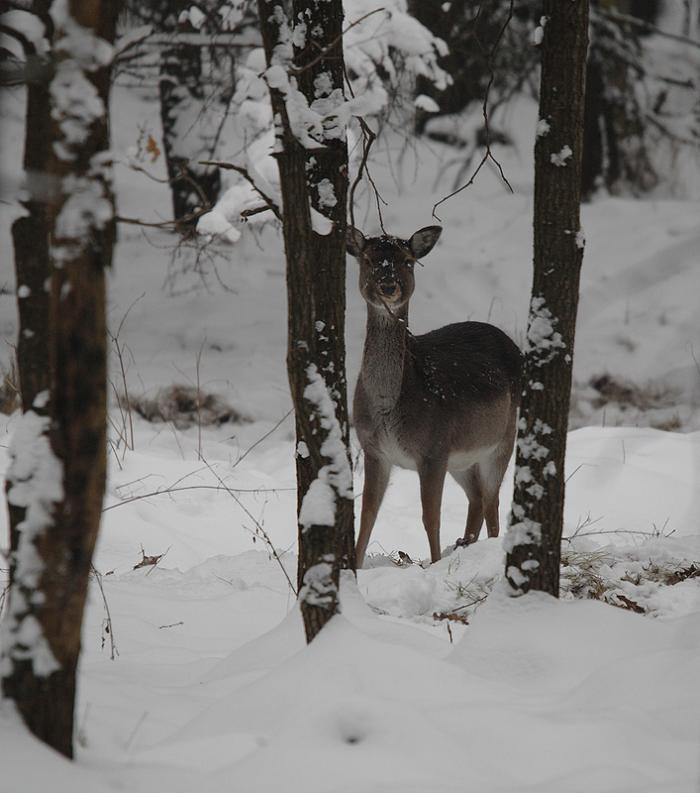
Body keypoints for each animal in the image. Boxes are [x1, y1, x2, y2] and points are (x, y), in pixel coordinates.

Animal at [348, 226, 524, 568]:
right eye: (368, 259)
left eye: (407, 260)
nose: (388, 286)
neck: (389, 407)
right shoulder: (373, 449)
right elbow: (367, 515)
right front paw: (355, 567)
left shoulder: (433, 448)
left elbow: (431, 517)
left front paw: (433, 564)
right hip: (462, 458)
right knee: (477, 499)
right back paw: (465, 545)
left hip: (501, 439)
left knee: (492, 502)